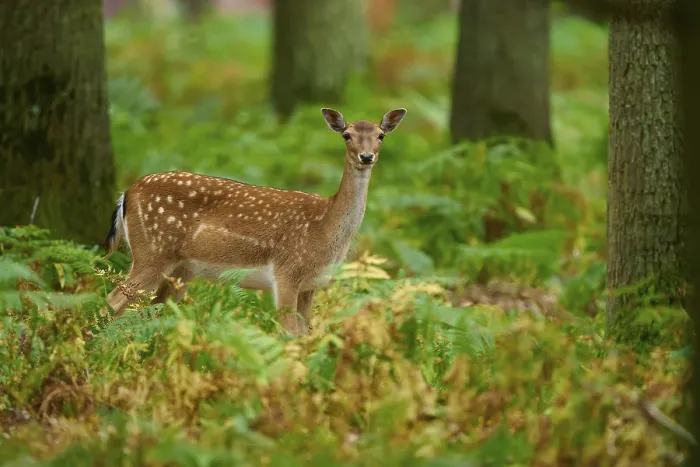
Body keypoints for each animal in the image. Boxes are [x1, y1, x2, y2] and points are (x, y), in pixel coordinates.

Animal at [103, 107, 407, 336]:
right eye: (346, 135)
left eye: (381, 135)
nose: (366, 156)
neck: (325, 227)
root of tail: (127, 193)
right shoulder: (286, 272)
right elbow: (288, 335)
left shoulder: (312, 285)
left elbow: (306, 335)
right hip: (152, 252)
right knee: (114, 300)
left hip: (180, 270)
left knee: (153, 311)